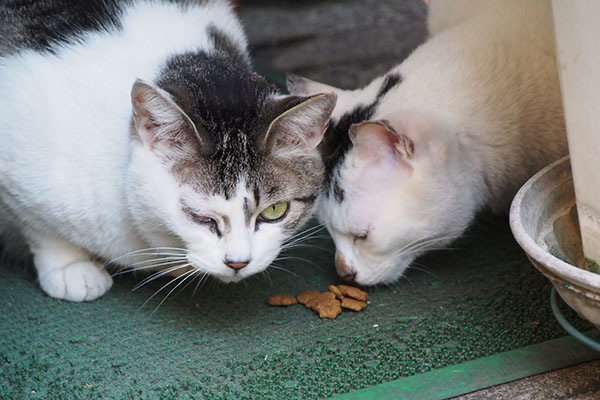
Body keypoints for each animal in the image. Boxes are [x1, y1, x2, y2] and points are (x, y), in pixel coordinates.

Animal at [0, 0, 338, 300]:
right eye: (197, 215)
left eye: (274, 211)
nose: (238, 263)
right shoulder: (17, 166)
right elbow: (40, 228)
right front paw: (70, 267)